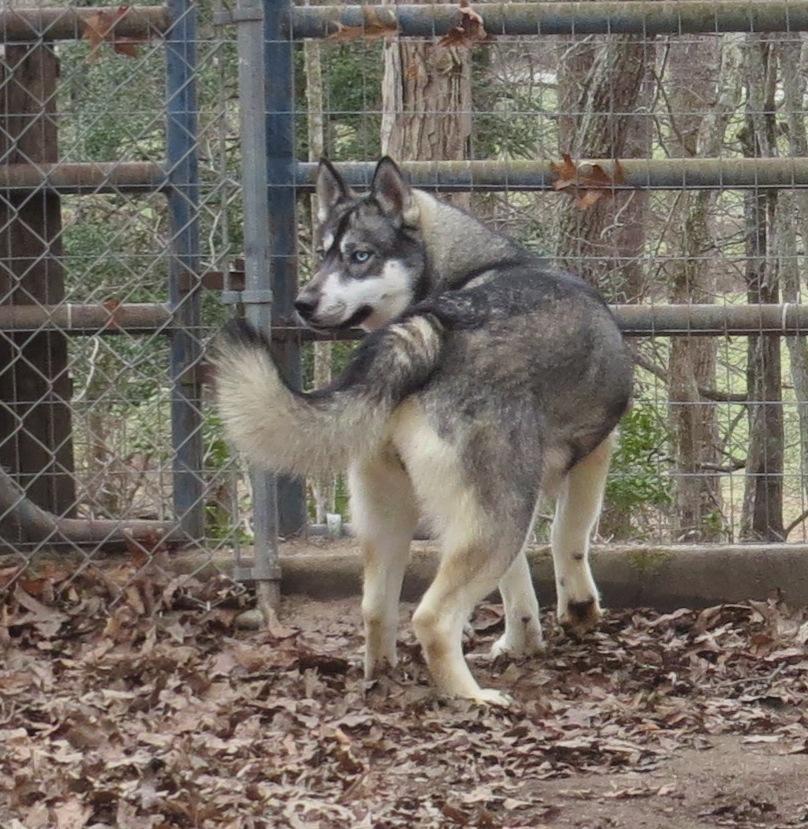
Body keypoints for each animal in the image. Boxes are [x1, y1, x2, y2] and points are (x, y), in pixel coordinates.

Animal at [213, 157, 632, 704]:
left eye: (358, 256)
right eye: (324, 255)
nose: (303, 303)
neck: (465, 273)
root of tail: (426, 328)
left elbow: (517, 585)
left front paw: (520, 641)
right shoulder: (596, 452)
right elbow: (569, 537)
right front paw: (579, 610)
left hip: (400, 521)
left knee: (375, 609)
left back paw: (382, 678)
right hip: (497, 520)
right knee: (432, 619)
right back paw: (473, 698)